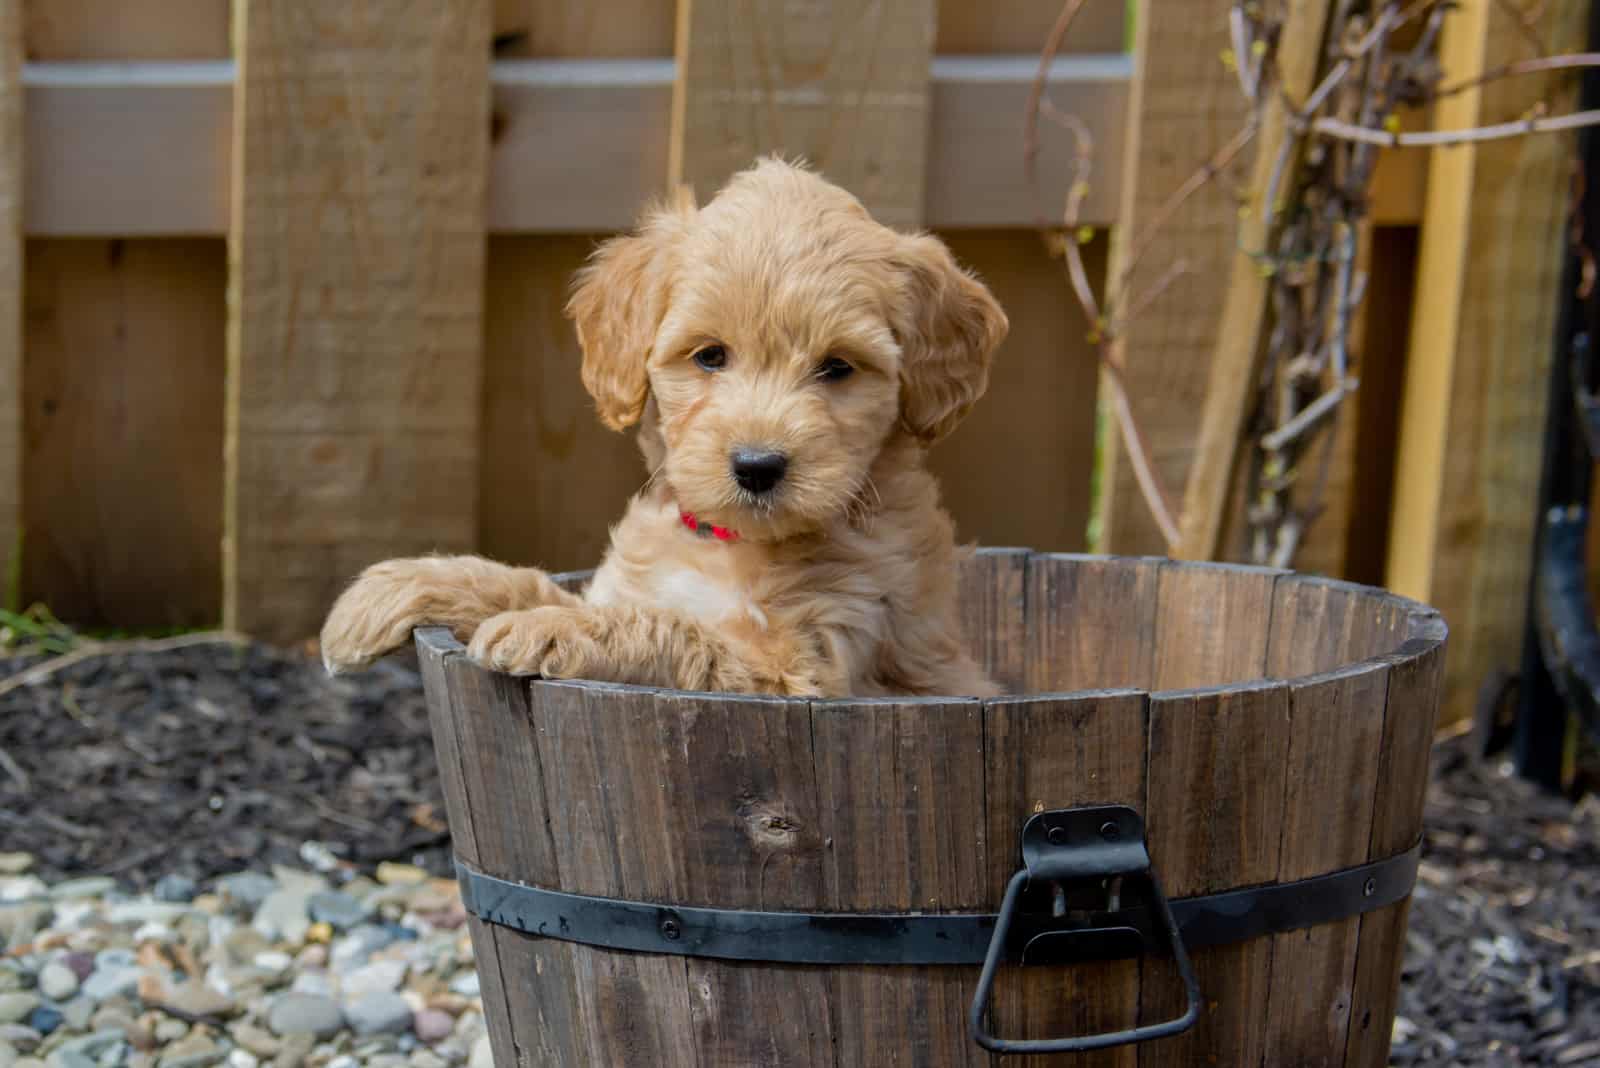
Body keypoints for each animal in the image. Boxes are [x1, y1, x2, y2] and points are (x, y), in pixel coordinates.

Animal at [318, 154, 1004, 697]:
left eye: (838, 367)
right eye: (710, 356)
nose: (758, 467)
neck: (729, 545)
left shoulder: (803, 666)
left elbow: (671, 628)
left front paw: (554, 629)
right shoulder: (629, 587)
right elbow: (522, 582)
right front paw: (384, 591)